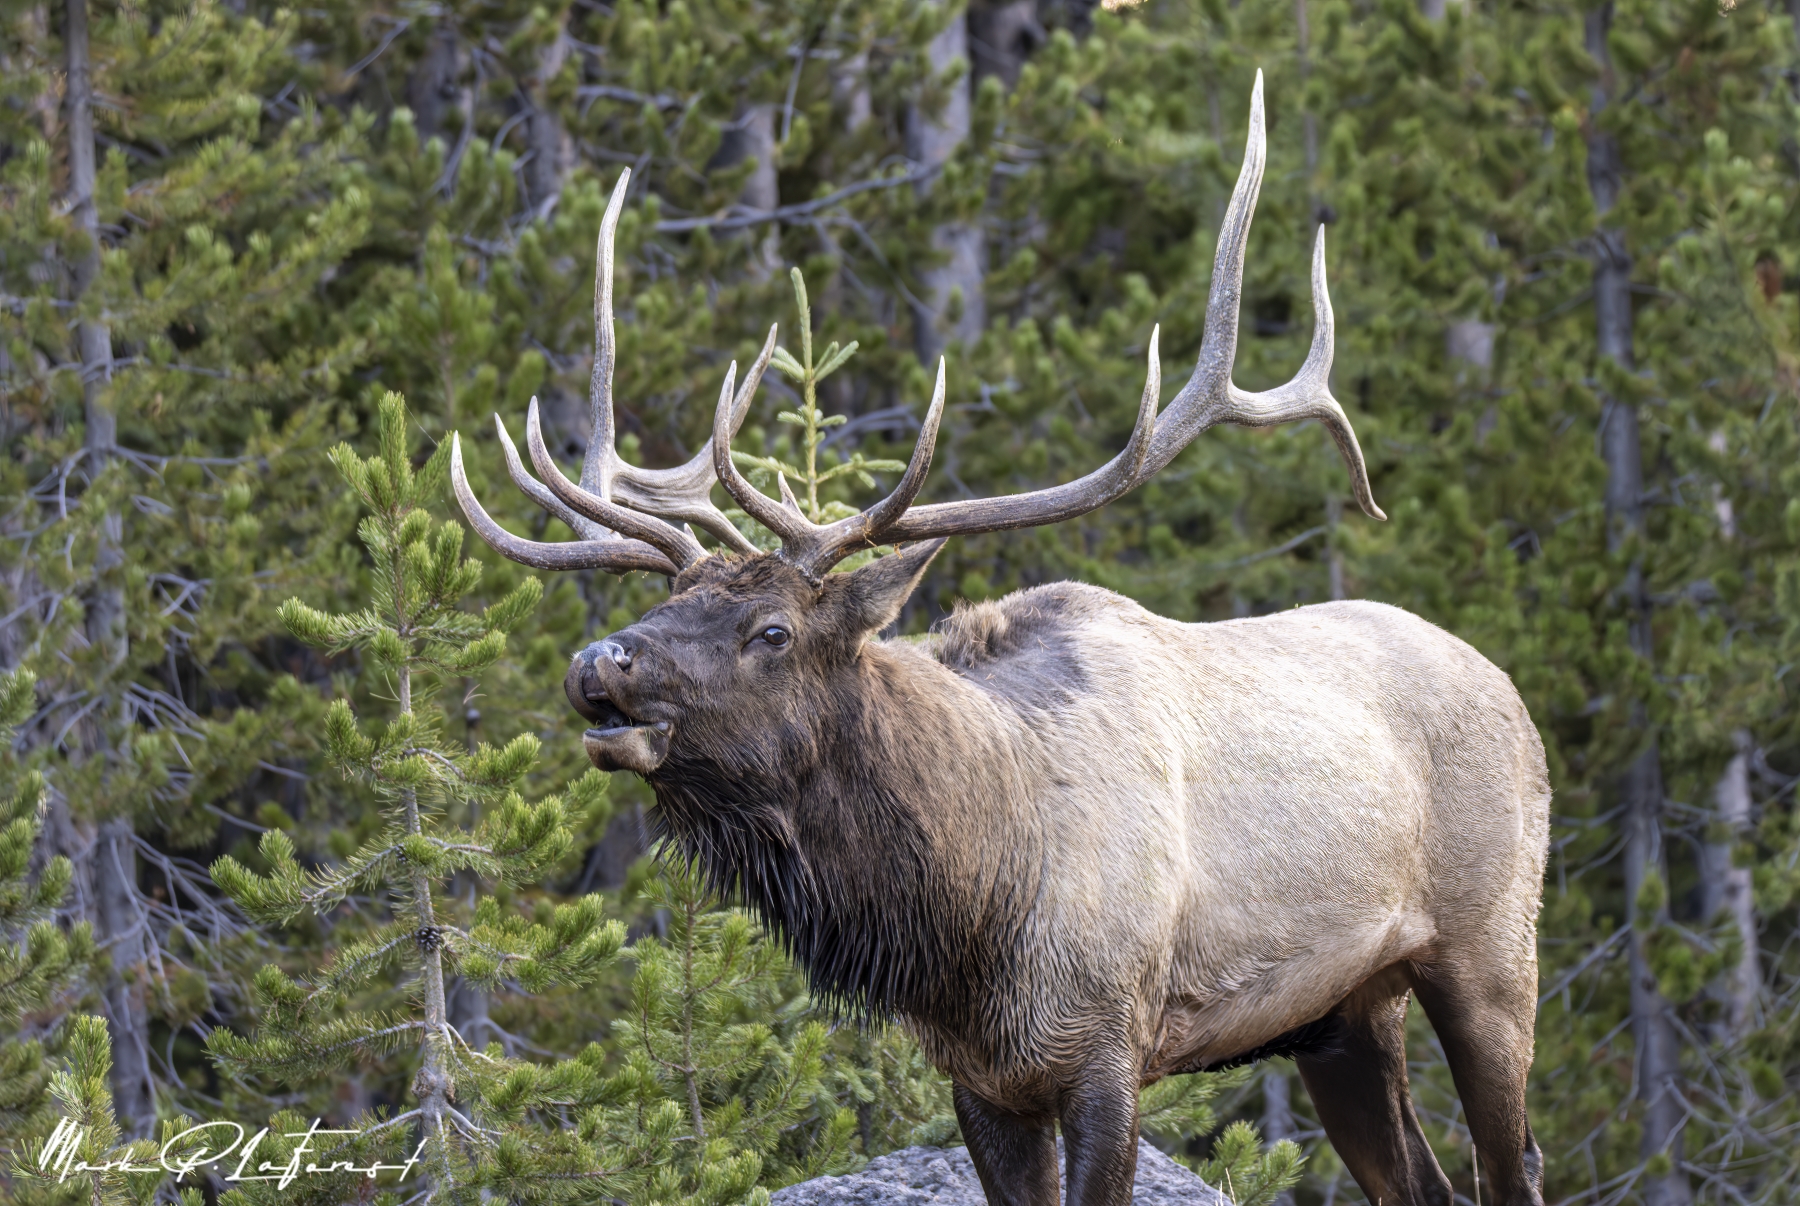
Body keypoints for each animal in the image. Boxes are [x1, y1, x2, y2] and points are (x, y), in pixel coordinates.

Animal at [449, 73, 1550, 1206]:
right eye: (671, 604)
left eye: (772, 630)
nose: (600, 662)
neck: (971, 918)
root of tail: (1510, 690)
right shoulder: (980, 1080)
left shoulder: (1108, 1044)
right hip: (1343, 1013)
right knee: (1424, 1182)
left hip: (1492, 949)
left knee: (1514, 1163)